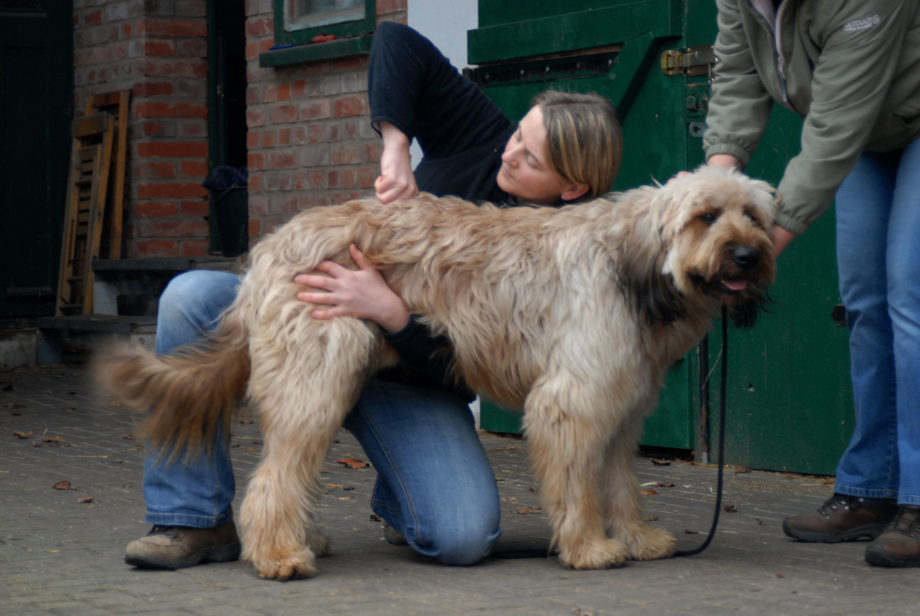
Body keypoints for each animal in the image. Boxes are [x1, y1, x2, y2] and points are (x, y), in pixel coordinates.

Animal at [97, 166, 776, 580]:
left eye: (753, 215)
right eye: (706, 216)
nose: (748, 256)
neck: (630, 265)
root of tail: (266, 251)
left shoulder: (621, 407)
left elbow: (620, 483)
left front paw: (638, 537)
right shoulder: (572, 402)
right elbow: (579, 488)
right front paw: (588, 548)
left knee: (288, 469)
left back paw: (298, 539)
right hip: (316, 376)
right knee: (273, 476)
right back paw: (278, 555)